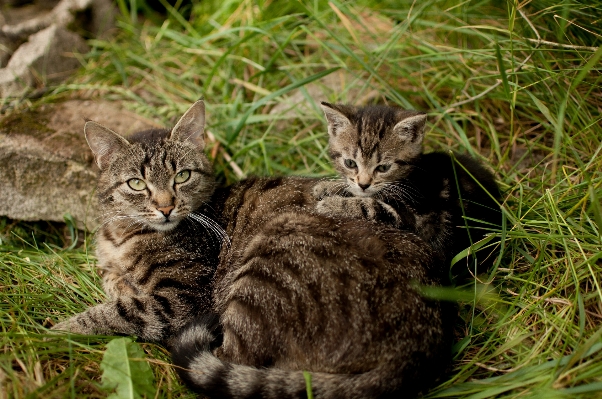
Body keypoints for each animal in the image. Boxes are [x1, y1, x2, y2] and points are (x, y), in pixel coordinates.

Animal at [50, 101, 224, 344]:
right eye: (136, 183)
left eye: (182, 176)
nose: (165, 208)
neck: (121, 235)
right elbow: (109, 277)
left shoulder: (185, 298)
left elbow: (116, 312)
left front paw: (60, 331)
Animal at [312, 102, 500, 276]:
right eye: (350, 163)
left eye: (383, 168)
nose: (364, 184)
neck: (410, 176)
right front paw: (327, 187)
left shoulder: (419, 218)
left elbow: (369, 205)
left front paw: (334, 204)